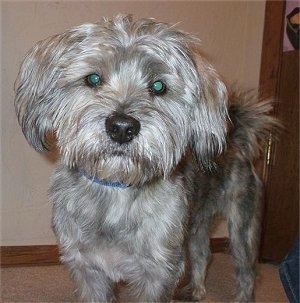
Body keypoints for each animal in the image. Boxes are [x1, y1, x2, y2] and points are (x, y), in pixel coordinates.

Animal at [14, 14, 278, 303]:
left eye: (159, 86)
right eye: (93, 78)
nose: (122, 128)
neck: (117, 189)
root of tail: (235, 138)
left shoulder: (158, 273)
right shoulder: (88, 269)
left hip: (242, 228)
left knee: (246, 273)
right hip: (196, 224)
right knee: (202, 253)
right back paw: (196, 290)